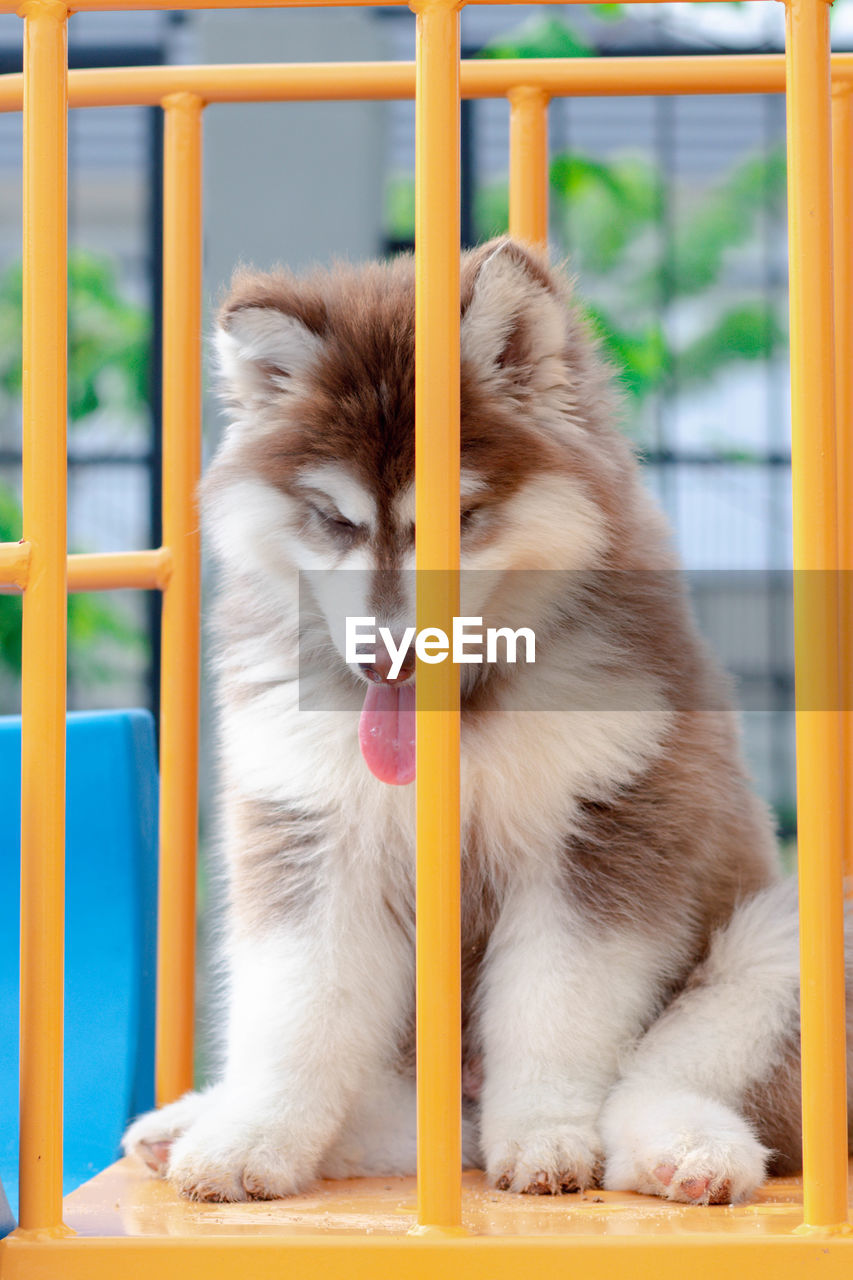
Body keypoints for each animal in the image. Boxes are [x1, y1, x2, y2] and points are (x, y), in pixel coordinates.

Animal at [122, 238, 845, 1198]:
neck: (464, 716)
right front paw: (249, 1139)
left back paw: (684, 1153)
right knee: (403, 1120)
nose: (383, 659)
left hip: (785, 931)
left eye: (458, 518)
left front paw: (543, 1136)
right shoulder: (314, 833)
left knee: (671, 1078)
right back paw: (194, 1122)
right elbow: (300, 1009)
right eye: (334, 520)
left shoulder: (594, 838)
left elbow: (554, 1010)